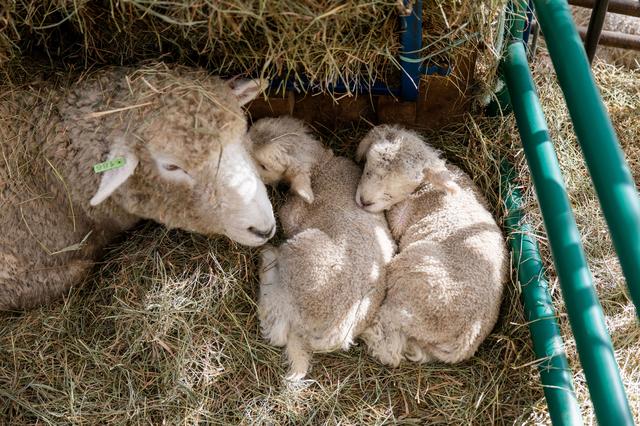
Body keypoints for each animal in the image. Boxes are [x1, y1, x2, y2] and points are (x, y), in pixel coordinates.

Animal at [248, 116, 396, 380]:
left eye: (264, 165)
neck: (321, 166)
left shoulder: (292, 217)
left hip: (300, 252)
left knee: (277, 329)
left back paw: (267, 257)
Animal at [354, 125, 507, 366]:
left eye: (396, 189)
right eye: (368, 169)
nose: (365, 201)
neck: (427, 187)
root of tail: (466, 337)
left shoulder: (399, 218)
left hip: (411, 292)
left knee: (390, 346)